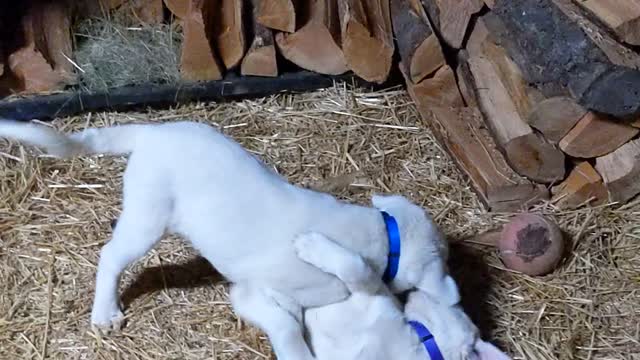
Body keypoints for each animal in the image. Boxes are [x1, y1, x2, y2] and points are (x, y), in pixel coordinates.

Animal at [1, 120, 470, 358]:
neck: (383, 236)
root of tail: (153, 130)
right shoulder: (268, 291)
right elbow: (287, 326)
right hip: (148, 214)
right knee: (111, 254)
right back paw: (105, 311)